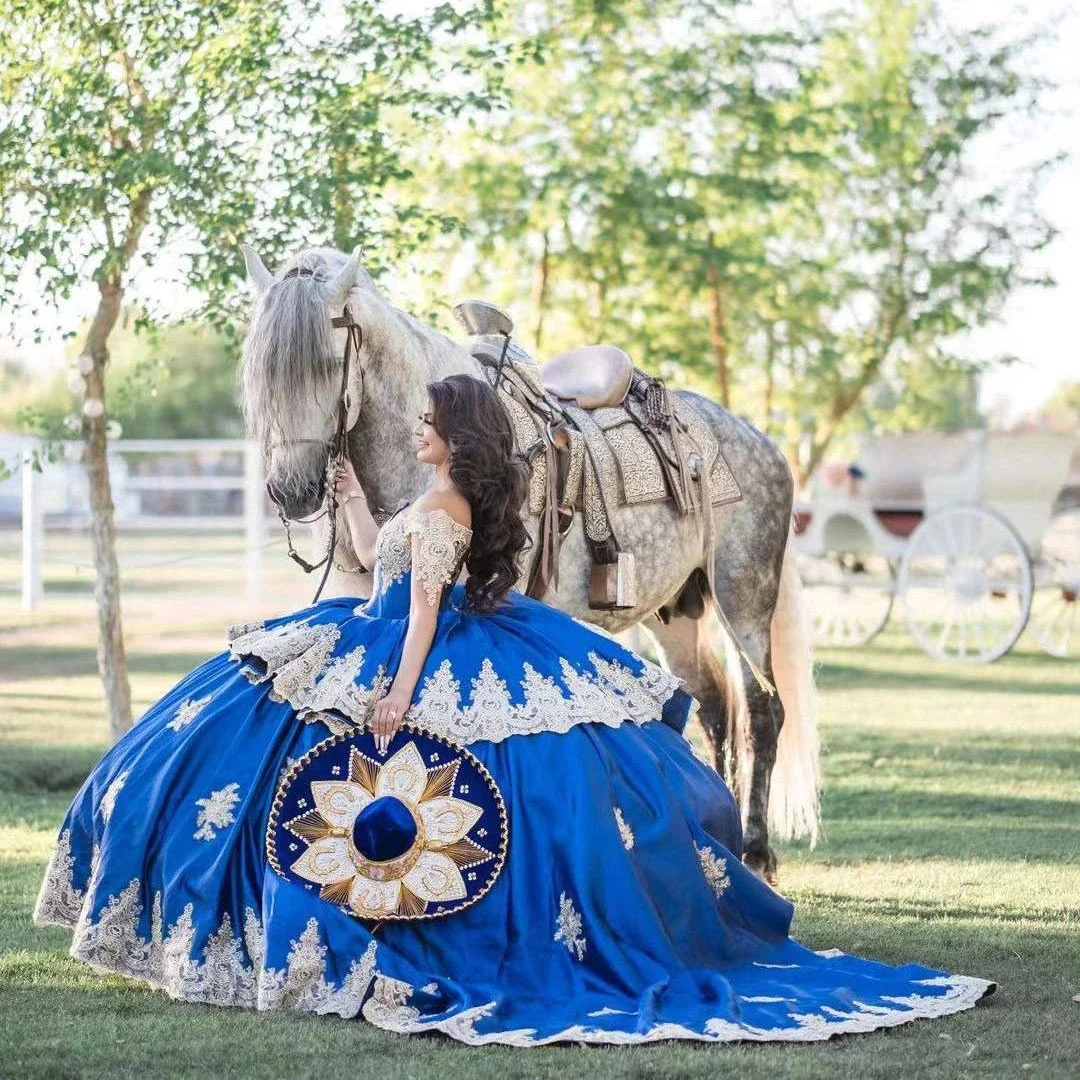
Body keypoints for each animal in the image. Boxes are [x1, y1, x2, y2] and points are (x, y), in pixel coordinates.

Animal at [243, 243, 816, 876]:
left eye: (325, 363)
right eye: (259, 374)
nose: (292, 491)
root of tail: (759, 441)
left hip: (744, 600)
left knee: (763, 711)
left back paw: (757, 848)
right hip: (677, 613)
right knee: (714, 709)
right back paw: (725, 838)